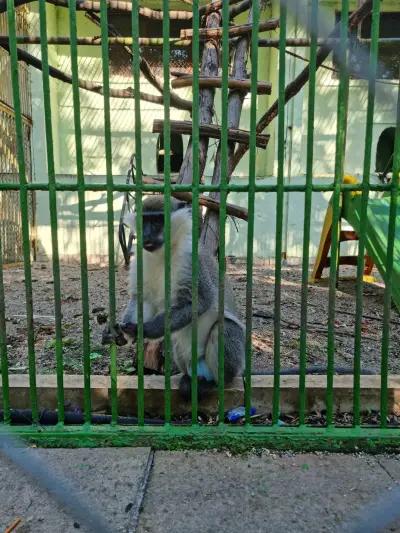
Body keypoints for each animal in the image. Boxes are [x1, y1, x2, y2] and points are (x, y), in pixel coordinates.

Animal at [101, 194, 245, 400]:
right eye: (145, 221)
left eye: (157, 221)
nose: (147, 235)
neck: (163, 253)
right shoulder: (141, 259)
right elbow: (143, 300)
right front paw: (119, 334)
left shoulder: (190, 260)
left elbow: (200, 301)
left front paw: (143, 330)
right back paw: (189, 379)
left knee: (224, 328)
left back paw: (214, 383)